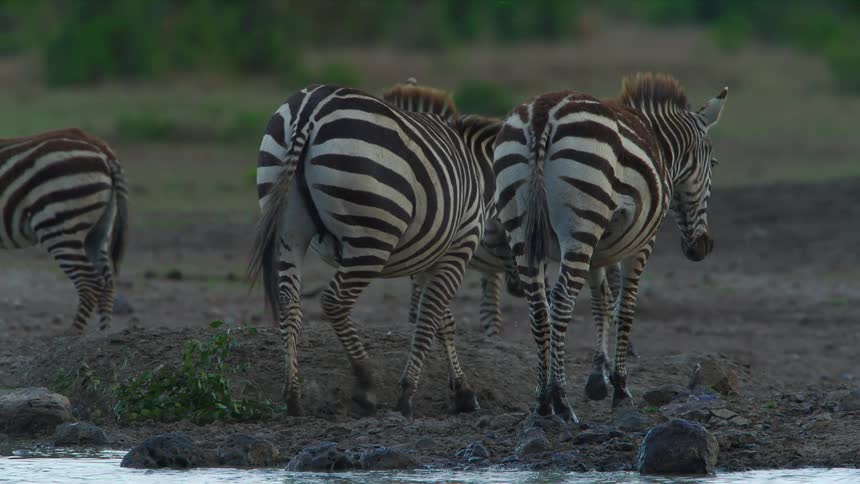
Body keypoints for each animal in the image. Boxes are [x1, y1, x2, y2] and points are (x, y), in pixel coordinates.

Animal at [0, 128, 128, 332]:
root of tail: (100, 147)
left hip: (58, 223)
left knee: (89, 283)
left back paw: (73, 334)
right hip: (100, 229)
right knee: (107, 283)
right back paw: (104, 334)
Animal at [247, 84, 504, 417]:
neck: (484, 177)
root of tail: (309, 109)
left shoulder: (428, 255)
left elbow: (441, 320)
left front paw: (461, 391)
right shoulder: (458, 247)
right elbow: (430, 316)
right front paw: (408, 396)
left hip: (288, 229)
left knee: (290, 303)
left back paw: (293, 397)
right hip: (370, 234)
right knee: (334, 302)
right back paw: (366, 384)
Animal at [494, 73, 727, 420]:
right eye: (713, 163)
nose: (702, 247)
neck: (660, 146)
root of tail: (543, 114)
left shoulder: (602, 248)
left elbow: (601, 302)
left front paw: (597, 378)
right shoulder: (641, 242)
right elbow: (624, 306)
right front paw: (620, 387)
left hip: (522, 229)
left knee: (539, 307)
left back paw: (542, 402)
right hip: (582, 222)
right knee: (561, 301)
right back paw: (561, 401)